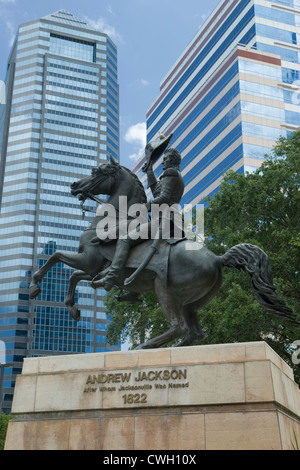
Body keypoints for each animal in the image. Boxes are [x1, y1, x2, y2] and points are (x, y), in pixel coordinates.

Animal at [29, 156, 298, 346]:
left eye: (98, 171)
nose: (74, 185)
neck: (114, 218)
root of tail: (218, 258)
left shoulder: (88, 260)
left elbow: (55, 258)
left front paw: (34, 287)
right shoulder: (94, 268)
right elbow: (74, 277)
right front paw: (73, 308)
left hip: (165, 290)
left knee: (179, 327)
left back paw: (144, 348)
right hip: (192, 302)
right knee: (194, 334)